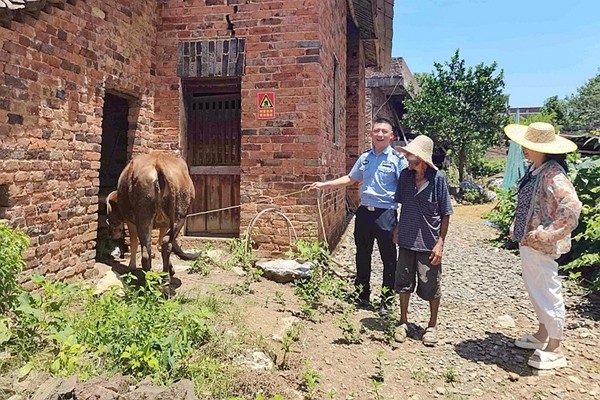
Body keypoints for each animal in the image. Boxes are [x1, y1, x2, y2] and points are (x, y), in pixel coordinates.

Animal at [106, 151, 200, 282]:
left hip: (144, 217)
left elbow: (134, 243)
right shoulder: (165, 224)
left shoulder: (131, 222)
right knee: (164, 244)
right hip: (179, 216)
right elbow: (160, 243)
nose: (111, 233)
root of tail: (158, 163)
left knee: (147, 251)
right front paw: (170, 269)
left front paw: (131, 267)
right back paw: (165, 278)